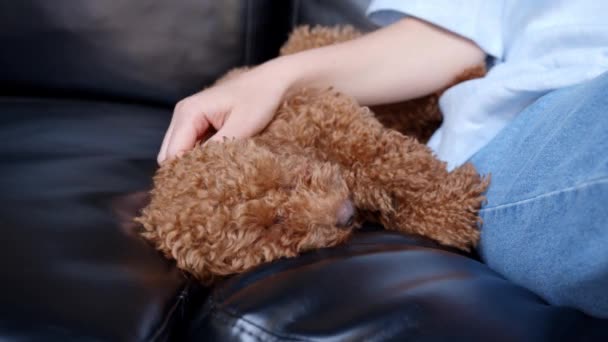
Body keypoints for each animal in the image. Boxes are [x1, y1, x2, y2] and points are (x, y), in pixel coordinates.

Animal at [137, 26, 490, 284]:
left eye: (283, 181)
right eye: (273, 228)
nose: (345, 215)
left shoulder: (329, 114)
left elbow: (384, 160)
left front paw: (448, 209)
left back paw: (468, 77)